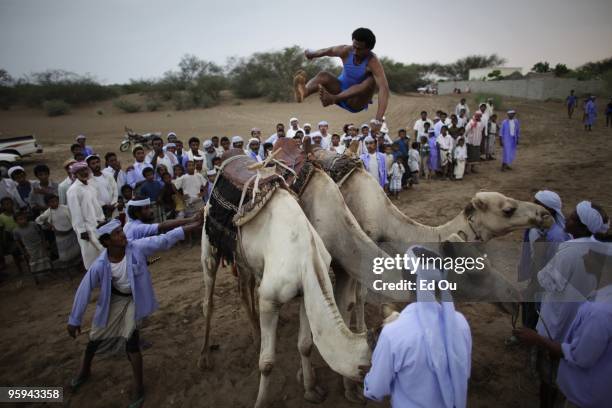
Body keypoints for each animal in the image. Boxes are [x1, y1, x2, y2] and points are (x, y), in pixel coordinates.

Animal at [200, 153, 368, 408]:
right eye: (365, 372)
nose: (360, 392)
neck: (306, 256)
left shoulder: (305, 293)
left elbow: (306, 345)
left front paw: (311, 389)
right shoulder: (270, 301)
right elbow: (267, 363)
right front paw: (261, 401)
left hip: (244, 258)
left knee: (244, 288)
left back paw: (256, 335)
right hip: (209, 241)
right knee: (209, 299)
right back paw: (205, 358)